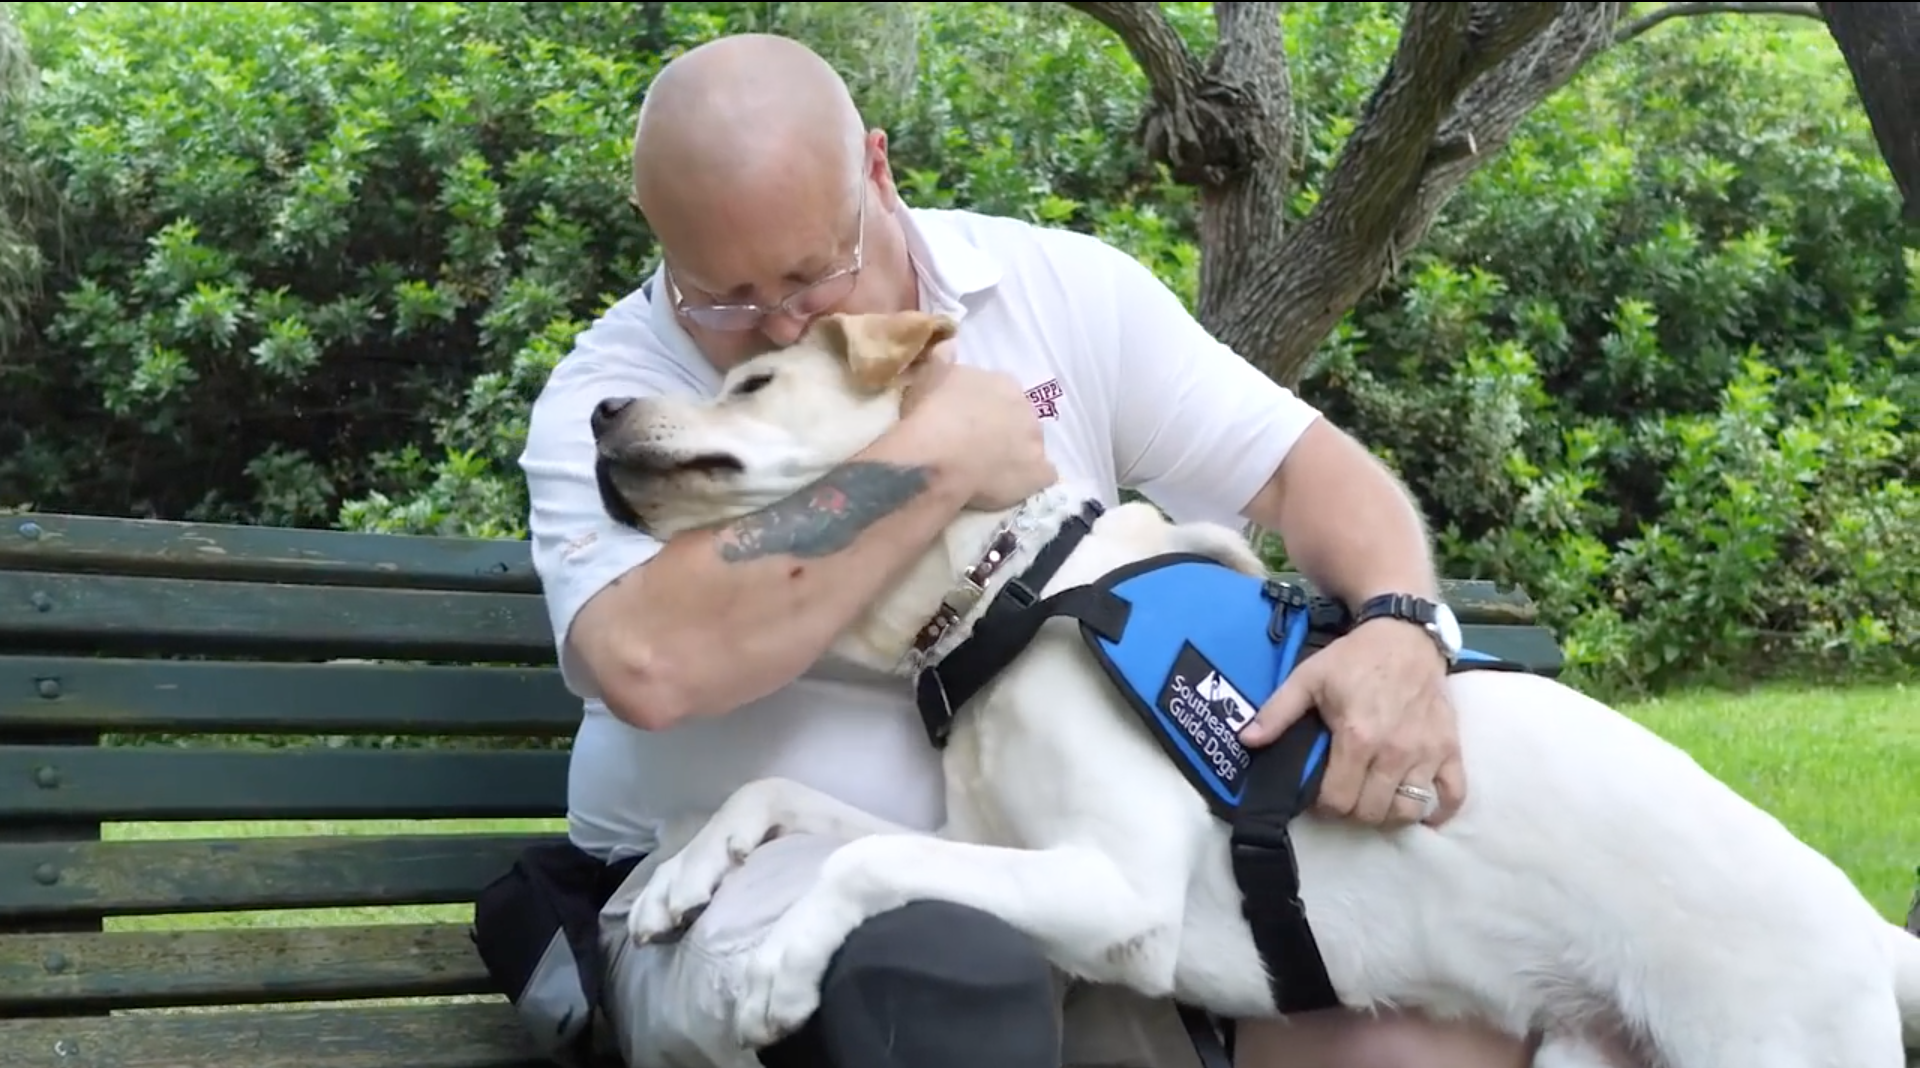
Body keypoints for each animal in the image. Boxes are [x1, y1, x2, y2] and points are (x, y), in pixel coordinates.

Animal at [591, 309, 1912, 1068]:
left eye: (755, 383)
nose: (599, 403)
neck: (1016, 592)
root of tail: (1866, 934)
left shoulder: (1112, 891)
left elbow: (864, 860)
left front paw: (779, 965)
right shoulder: (981, 840)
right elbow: (781, 797)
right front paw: (682, 883)